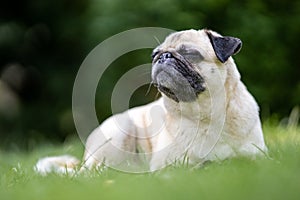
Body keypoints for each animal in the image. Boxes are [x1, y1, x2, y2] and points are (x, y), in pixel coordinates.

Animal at [34, 28, 268, 174]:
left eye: (189, 54)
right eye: (155, 54)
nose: (163, 56)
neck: (205, 115)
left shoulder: (258, 156)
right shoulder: (168, 165)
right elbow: (194, 165)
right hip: (120, 131)